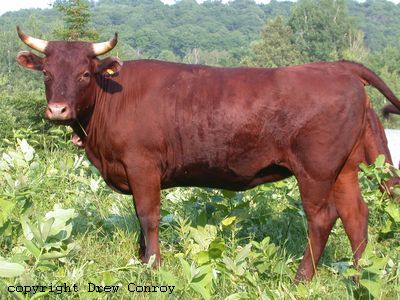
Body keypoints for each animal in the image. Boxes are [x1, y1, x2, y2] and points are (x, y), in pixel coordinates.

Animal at [15, 27, 400, 282]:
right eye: (46, 73)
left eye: (84, 73)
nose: (58, 110)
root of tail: (337, 66)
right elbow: (139, 218)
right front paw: (141, 260)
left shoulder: (142, 165)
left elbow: (148, 216)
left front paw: (154, 266)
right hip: (344, 169)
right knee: (356, 216)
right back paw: (359, 275)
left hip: (316, 170)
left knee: (322, 218)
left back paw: (302, 277)